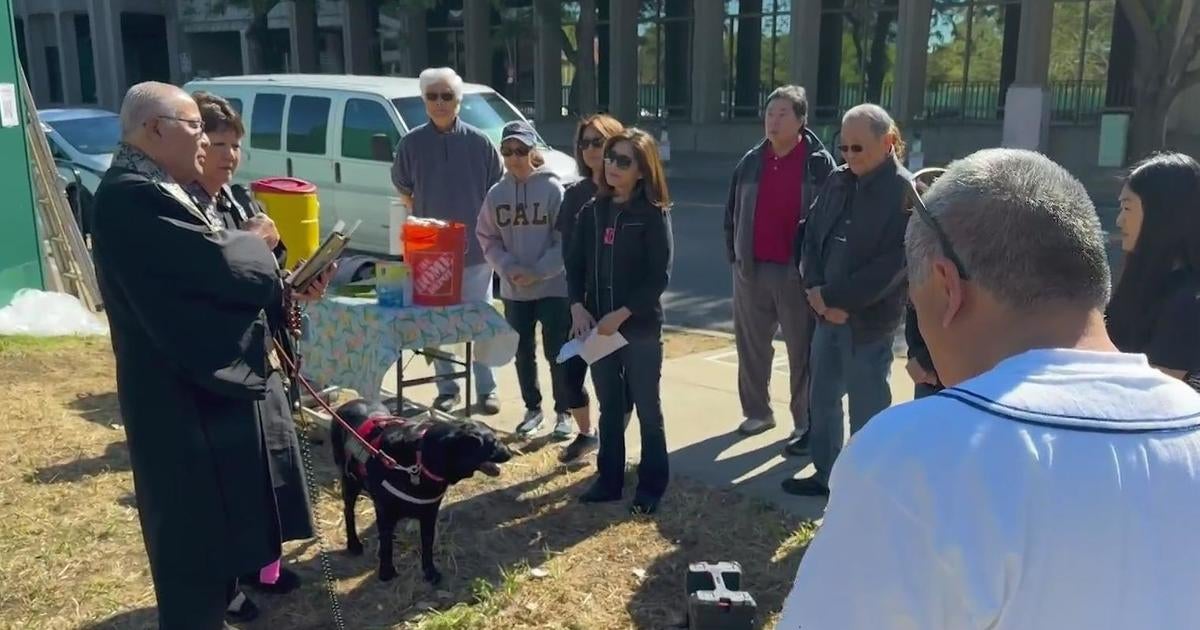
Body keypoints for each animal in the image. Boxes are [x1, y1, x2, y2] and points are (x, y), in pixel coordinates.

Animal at [331, 400, 513, 583]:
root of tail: (348, 403)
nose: (510, 453)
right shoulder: (385, 511)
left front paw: (430, 572)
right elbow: (386, 545)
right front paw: (386, 572)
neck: (421, 459)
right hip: (349, 482)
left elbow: (427, 544)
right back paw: (354, 544)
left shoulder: (429, 513)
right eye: (494, 442)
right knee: (348, 512)